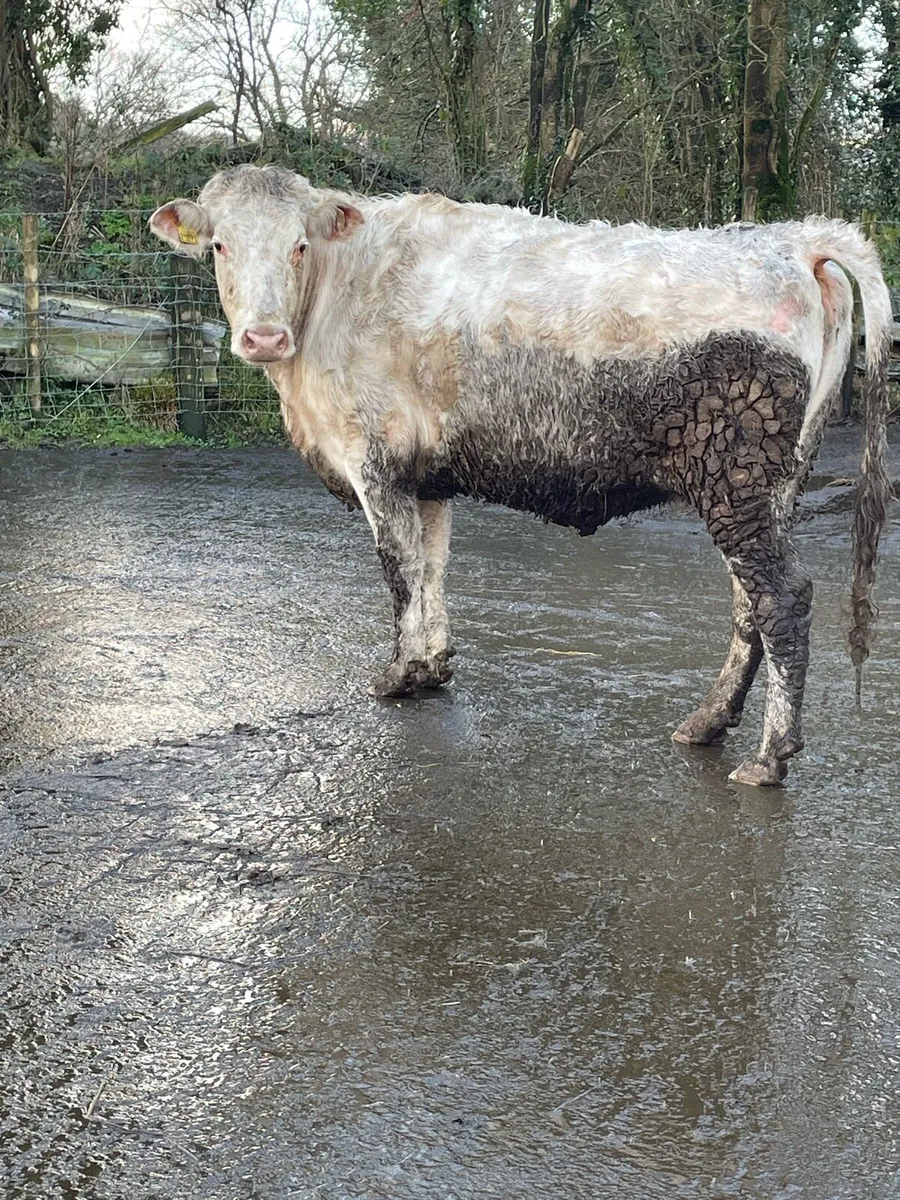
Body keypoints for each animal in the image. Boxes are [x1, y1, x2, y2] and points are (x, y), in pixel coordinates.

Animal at [150, 165, 893, 786]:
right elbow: (432, 567)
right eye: (219, 247)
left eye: (300, 246)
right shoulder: (426, 477)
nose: (263, 337)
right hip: (769, 482)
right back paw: (707, 723)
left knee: (783, 599)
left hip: (737, 477)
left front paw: (398, 675)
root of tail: (791, 239)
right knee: (749, 606)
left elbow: (399, 571)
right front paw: (433, 666)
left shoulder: (373, 460)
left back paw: (769, 757)